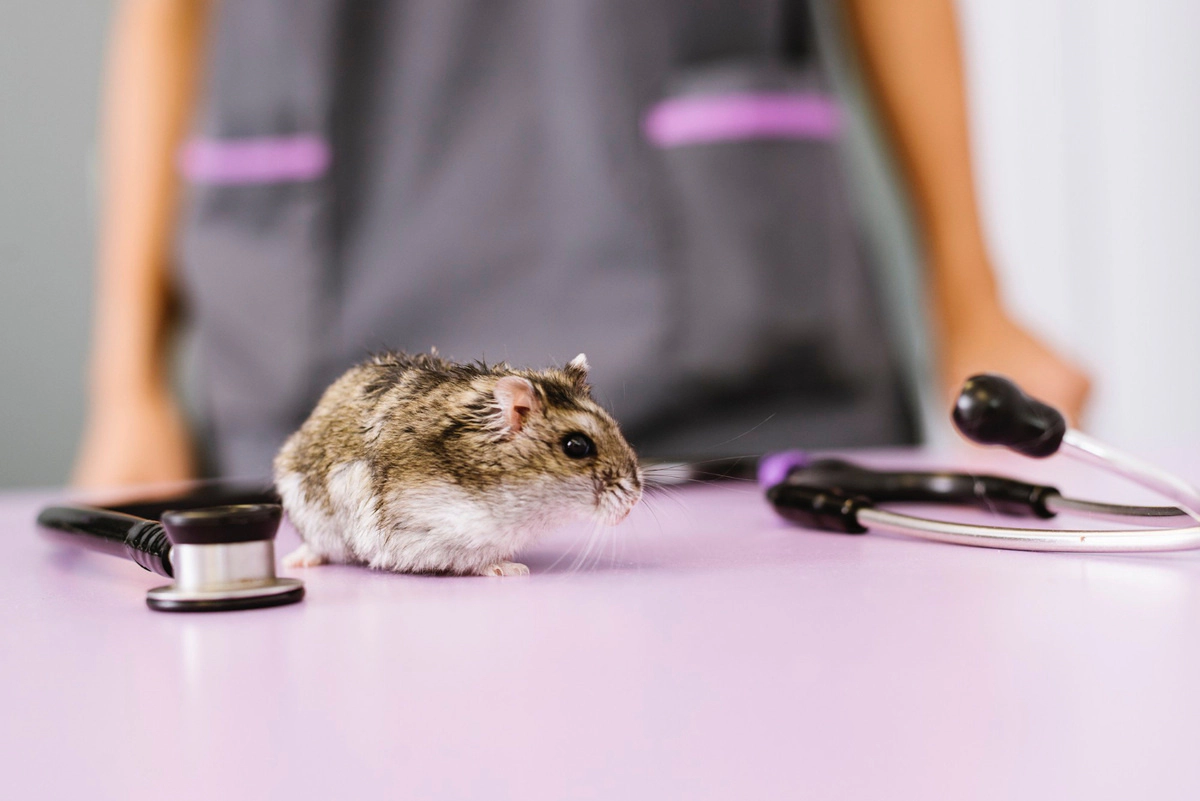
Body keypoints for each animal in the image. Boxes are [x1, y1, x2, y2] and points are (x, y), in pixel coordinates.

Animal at [274, 351, 643, 576]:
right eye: (576, 446)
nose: (635, 498)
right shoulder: (431, 529)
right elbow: (473, 560)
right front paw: (512, 569)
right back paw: (295, 562)